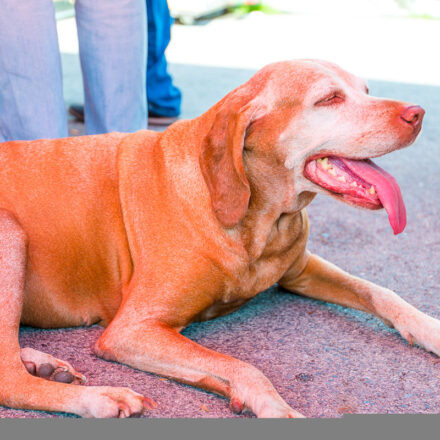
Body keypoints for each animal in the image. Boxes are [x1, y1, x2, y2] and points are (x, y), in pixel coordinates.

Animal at [0, 59, 432, 420]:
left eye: (367, 90)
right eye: (330, 99)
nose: (418, 114)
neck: (260, 222)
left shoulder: (301, 270)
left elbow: (381, 292)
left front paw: (431, 329)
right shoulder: (132, 331)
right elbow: (242, 366)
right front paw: (276, 409)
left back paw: (42, 362)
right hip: (12, 235)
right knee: (10, 381)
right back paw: (99, 398)